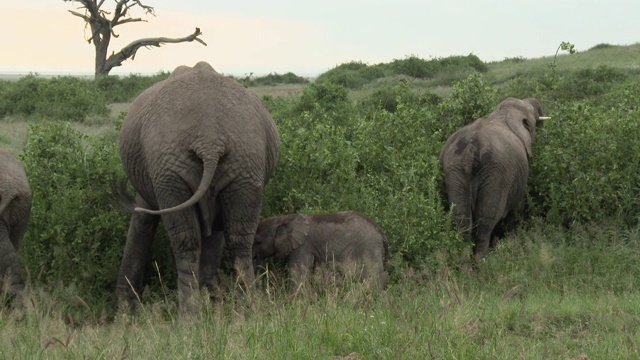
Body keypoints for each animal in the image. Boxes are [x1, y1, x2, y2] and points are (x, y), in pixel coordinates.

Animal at [117, 60, 280, 310]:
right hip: (246, 160)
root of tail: (210, 140)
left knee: (186, 242)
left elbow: (143, 219)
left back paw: (189, 317)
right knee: (240, 239)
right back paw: (248, 312)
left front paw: (124, 312)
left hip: (169, 167)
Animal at [252, 212, 388, 288]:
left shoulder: (302, 246)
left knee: (373, 277)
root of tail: (381, 233)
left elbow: (298, 272)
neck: (283, 219)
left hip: (369, 249)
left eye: (258, 242)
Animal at [440, 97, 552, 258]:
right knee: (486, 220)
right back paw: (483, 262)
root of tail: (472, 149)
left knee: (462, 218)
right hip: (497, 174)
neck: (504, 114)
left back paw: (464, 263)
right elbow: (516, 210)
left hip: (454, 169)